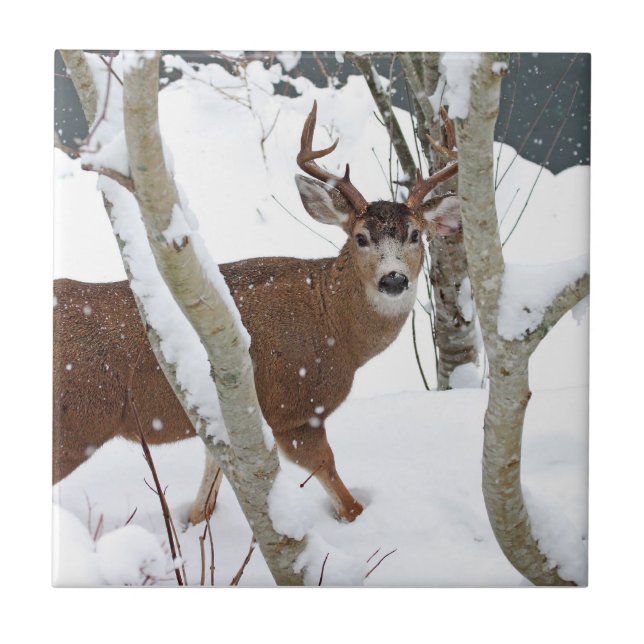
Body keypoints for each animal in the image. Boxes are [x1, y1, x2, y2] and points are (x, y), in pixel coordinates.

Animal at [53, 102, 461, 524]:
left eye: (415, 235)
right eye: (361, 237)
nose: (393, 279)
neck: (335, 327)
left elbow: (210, 489)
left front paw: (194, 523)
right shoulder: (294, 410)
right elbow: (337, 486)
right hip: (74, 426)